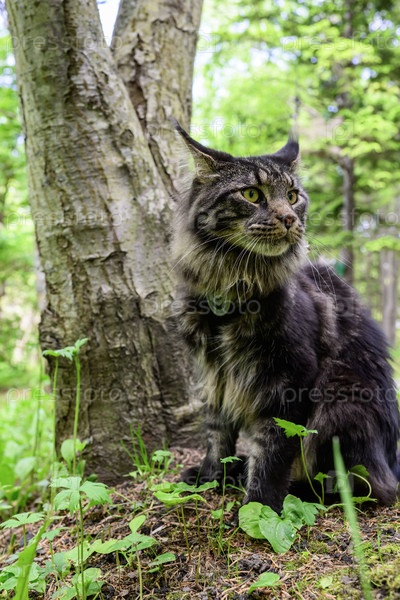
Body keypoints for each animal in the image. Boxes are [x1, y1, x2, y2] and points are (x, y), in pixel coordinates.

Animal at [171, 120, 399, 511]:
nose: (289, 218)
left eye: (293, 196)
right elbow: (217, 434)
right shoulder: (213, 374)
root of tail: (393, 463)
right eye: (251, 194)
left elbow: (272, 452)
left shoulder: (289, 381)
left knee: (358, 489)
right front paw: (212, 477)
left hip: (341, 399)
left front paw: (258, 507)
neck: (233, 286)